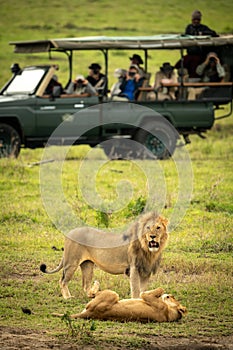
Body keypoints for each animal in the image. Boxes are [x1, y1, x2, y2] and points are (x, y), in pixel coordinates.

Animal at [39, 212, 167, 300]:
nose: (152, 236)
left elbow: (143, 289)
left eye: (158, 227)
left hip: (87, 265)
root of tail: (69, 233)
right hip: (71, 262)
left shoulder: (146, 270)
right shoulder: (134, 268)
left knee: (85, 285)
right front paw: (136, 301)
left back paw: (93, 293)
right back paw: (68, 297)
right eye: (148, 228)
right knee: (63, 281)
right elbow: (136, 289)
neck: (149, 250)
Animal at [52, 282, 186, 322]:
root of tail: (91, 314)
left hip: (113, 294)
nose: (169, 295)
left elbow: (147, 292)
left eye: (172, 297)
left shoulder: (150, 298)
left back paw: (95, 284)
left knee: (92, 294)